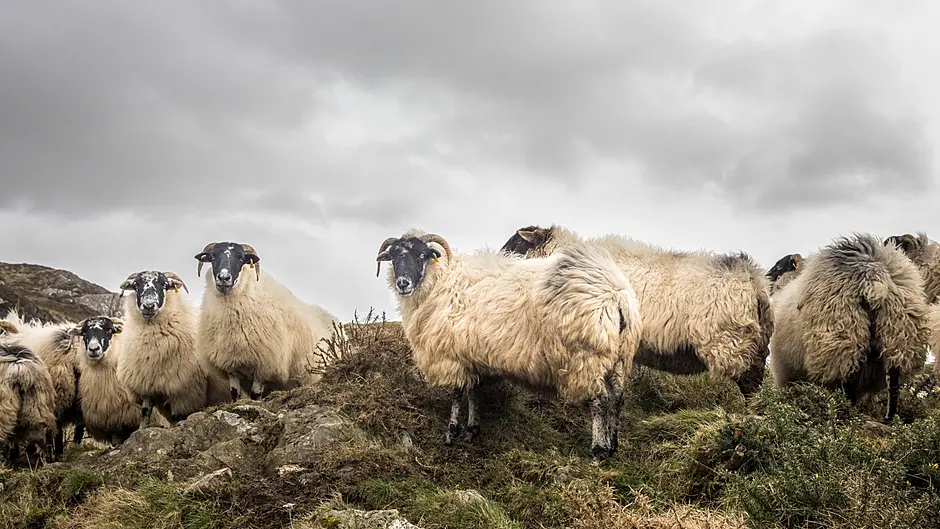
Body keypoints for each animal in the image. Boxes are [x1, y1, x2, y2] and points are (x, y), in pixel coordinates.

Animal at [116, 270, 230, 426]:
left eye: (164, 284)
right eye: (136, 285)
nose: (148, 306)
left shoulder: (183, 393)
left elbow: (178, 417)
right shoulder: (146, 385)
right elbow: (145, 414)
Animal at [195, 241, 344, 402]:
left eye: (241, 258)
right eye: (213, 256)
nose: (224, 277)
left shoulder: (265, 365)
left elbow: (255, 395)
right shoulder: (230, 365)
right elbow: (235, 394)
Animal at [376, 230, 642, 461]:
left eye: (422, 255)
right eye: (394, 256)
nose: (402, 283)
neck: (440, 282)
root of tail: (617, 295)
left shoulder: (451, 355)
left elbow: (458, 394)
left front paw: (451, 433)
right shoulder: (471, 355)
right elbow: (473, 393)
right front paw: (472, 429)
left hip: (587, 358)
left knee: (599, 402)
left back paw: (598, 450)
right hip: (619, 356)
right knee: (617, 399)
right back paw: (613, 445)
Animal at [769, 233, 931, 421]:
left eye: (778, 266)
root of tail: (875, 278)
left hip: (840, 338)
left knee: (844, 381)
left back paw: (841, 410)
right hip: (899, 332)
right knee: (893, 378)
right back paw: (888, 417)